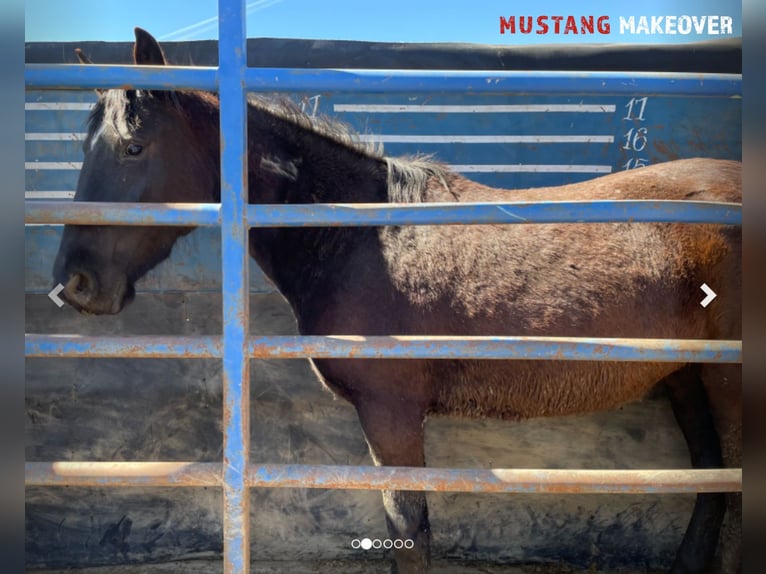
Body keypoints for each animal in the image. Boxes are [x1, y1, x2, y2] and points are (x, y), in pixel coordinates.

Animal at [51, 28, 740, 574]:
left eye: (134, 147)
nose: (75, 282)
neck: (359, 235)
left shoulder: (391, 414)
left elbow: (410, 533)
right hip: (689, 377)